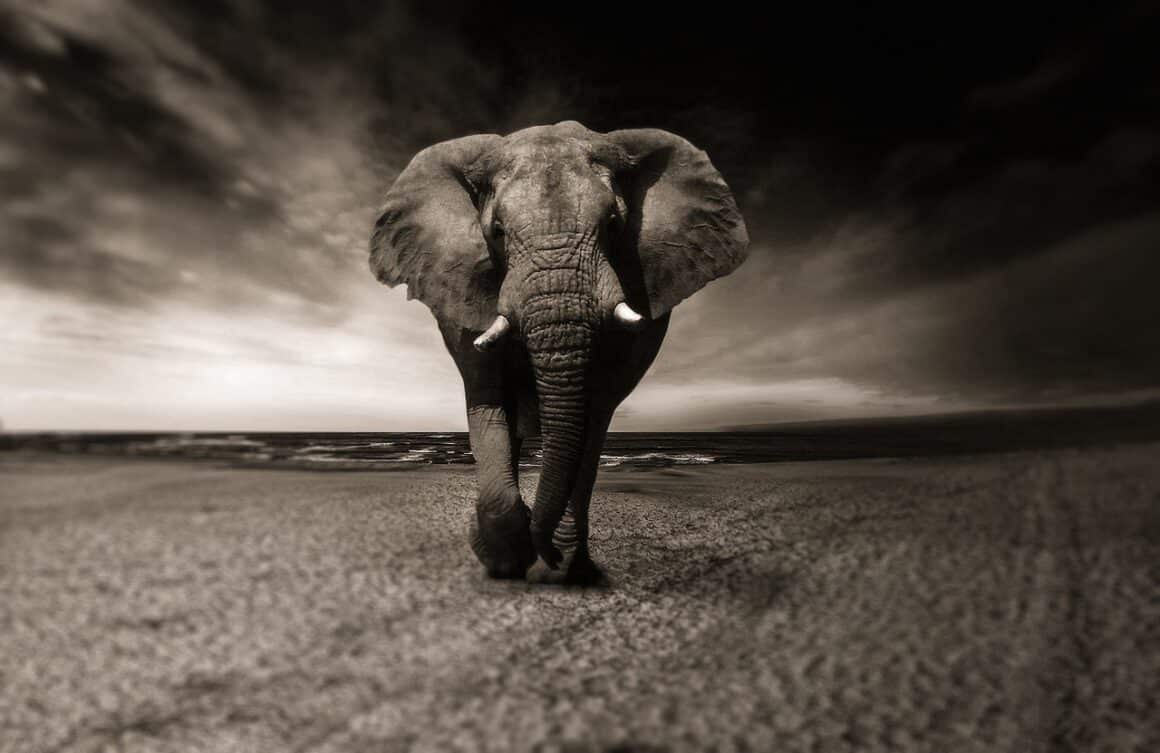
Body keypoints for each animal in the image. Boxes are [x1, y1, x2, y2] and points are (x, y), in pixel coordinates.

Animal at [369, 120, 748, 583]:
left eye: (614, 224)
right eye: (497, 232)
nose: (544, 551)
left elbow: (593, 412)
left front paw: (558, 565)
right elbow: (487, 398)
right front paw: (506, 559)